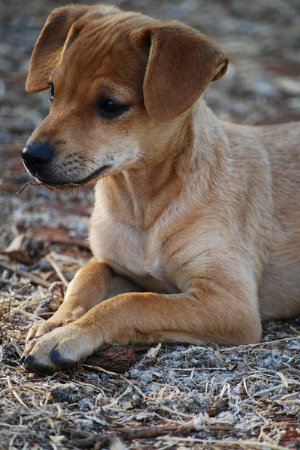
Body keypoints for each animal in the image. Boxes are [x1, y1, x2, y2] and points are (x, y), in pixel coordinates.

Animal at [20, 5, 300, 374]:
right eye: (52, 91)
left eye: (110, 105)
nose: (30, 156)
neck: (142, 208)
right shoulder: (116, 265)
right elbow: (86, 277)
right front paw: (55, 322)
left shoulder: (231, 303)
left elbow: (132, 303)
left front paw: (68, 336)